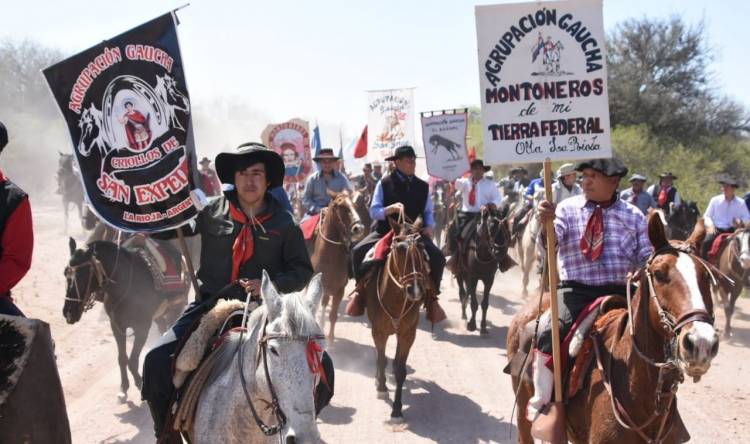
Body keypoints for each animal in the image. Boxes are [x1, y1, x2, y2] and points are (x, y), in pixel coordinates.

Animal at [312, 191, 368, 340]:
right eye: (341, 206)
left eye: (355, 205)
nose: (359, 228)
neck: (328, 258)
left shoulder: (339, 290)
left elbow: (333, 316)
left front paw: (330, 340)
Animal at [366, 217, 432, 422]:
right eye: (400, 248)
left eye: (421, 246)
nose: (415, 289)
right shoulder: (378, 331)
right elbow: (381, 359)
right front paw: (381, 387)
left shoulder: (407, 334)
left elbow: (401, 370)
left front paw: (396, 410)